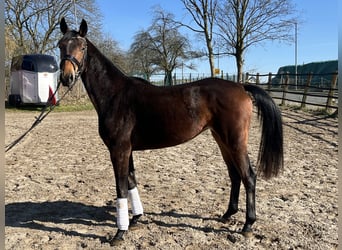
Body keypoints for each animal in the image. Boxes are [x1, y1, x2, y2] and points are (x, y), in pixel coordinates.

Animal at [58, 18, 284, 246]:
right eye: (60, 45)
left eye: (82, 47)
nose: (67, 77)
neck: (115, 95)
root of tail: (241, 87)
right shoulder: (126, 150)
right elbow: (131, 181)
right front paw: (136, 218)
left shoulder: (118, 150)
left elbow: (121, 187)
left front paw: (120, 233)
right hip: (222, 140)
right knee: (235, 175)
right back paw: (228, 214)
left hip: (235, 141)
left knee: (249, 176)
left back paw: (248, 224)